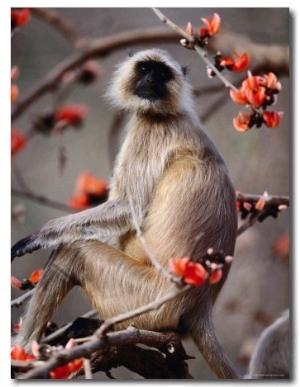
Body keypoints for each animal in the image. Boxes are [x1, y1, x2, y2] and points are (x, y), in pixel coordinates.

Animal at [11, 48, 239, 378]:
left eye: (161, 73)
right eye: (144, 69)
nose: (150, 80)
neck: (167, 113)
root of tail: (201, 307)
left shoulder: (150, 131)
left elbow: (127, 208)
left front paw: (41, 236)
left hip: (145, 299)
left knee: (76, 251)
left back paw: (24, 353)